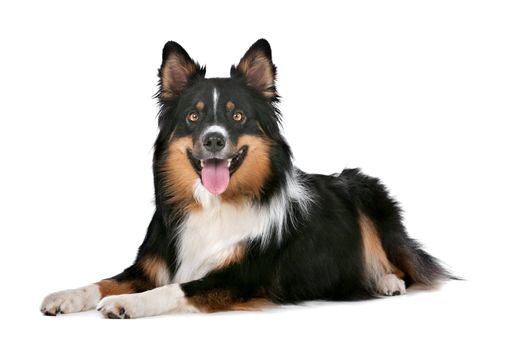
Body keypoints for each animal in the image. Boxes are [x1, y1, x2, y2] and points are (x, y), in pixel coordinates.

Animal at [41, 39, 450, 318]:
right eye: (193, 116)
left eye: (237, 117)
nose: (213, 139)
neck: (212, 205)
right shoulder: (149, 264)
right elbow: (102, 281)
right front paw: (65, 296)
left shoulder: (240, 278)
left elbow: (173, 290)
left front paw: (126, 302)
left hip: (365, 190)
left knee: (404, 266)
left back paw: (386, 281)